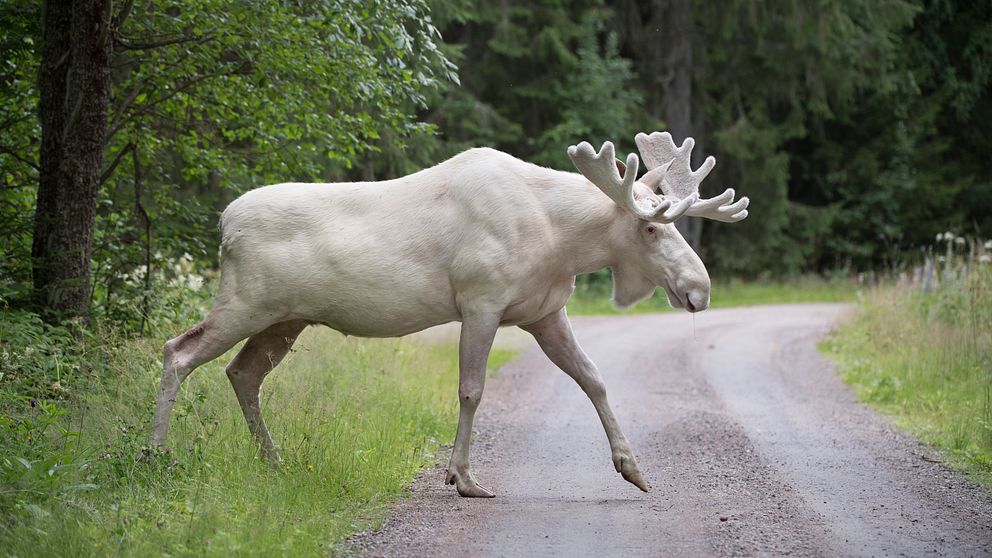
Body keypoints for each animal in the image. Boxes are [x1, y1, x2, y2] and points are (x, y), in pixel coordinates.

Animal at [151, 131, 748, 498]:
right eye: (650, 227)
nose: (699, 289)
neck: (560, 241)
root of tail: (224, 224)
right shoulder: (480, 300)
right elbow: (471, 389)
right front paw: (463, 478)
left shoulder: (544, 312)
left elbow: (594, 379)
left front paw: (632, 468)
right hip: (246, 302)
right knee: (178, 351)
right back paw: (156, 455)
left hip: (285, 319)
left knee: (242, 372)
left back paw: (272, 462)